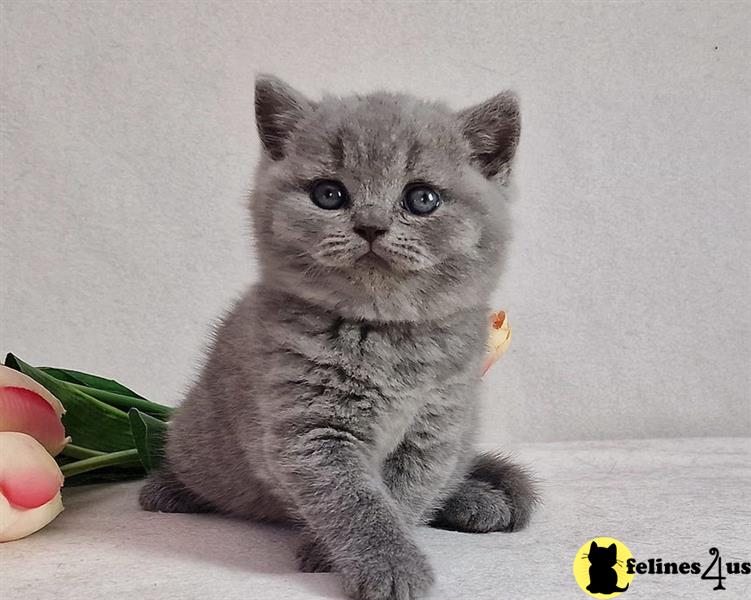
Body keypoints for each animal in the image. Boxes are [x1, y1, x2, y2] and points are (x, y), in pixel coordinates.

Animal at [141, 75, 536, 600]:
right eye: (329, 194)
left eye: (422, 199)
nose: (371, 224)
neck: (384, 334)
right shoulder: (309, 430)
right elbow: (354, 501)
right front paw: (386, 567)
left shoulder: (437, 425)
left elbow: (403, 495)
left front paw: (357, 555)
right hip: (197, 437)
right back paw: (168, 490)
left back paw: (478, 501)